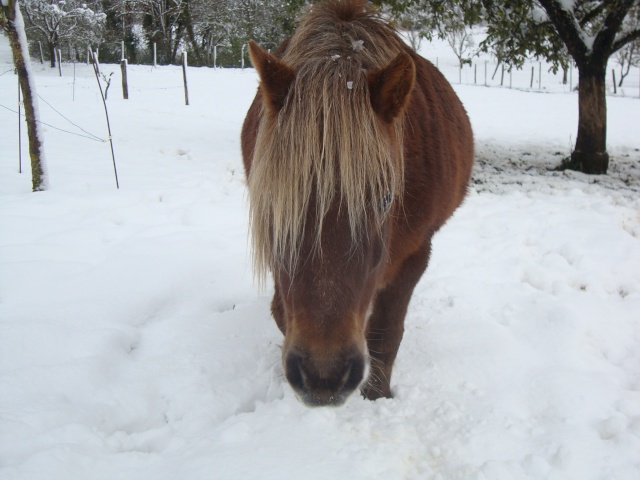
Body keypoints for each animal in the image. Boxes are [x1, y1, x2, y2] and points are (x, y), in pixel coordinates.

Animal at [242, 0, 472, 406]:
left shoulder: (416, 253)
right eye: (273, 200)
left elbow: (385, 335)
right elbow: (282, 312)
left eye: (385, 199)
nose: (323, 376)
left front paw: (377, 398)